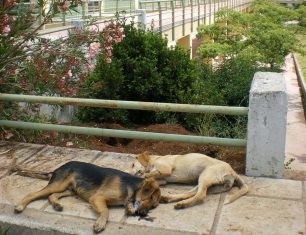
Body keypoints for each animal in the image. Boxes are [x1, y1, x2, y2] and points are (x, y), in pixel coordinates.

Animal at [14, 161, 161, 232]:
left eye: (153, 206)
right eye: (150, 198)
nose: (143, 214)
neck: (131, 186)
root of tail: (57, 169)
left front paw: (130, 208)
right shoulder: (97, 198)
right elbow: (106, 211)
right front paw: (100, 223)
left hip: (70, 190)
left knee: (52, 195)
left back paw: (57, 205)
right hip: (59, 185)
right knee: (34, 193)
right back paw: (20, 205)